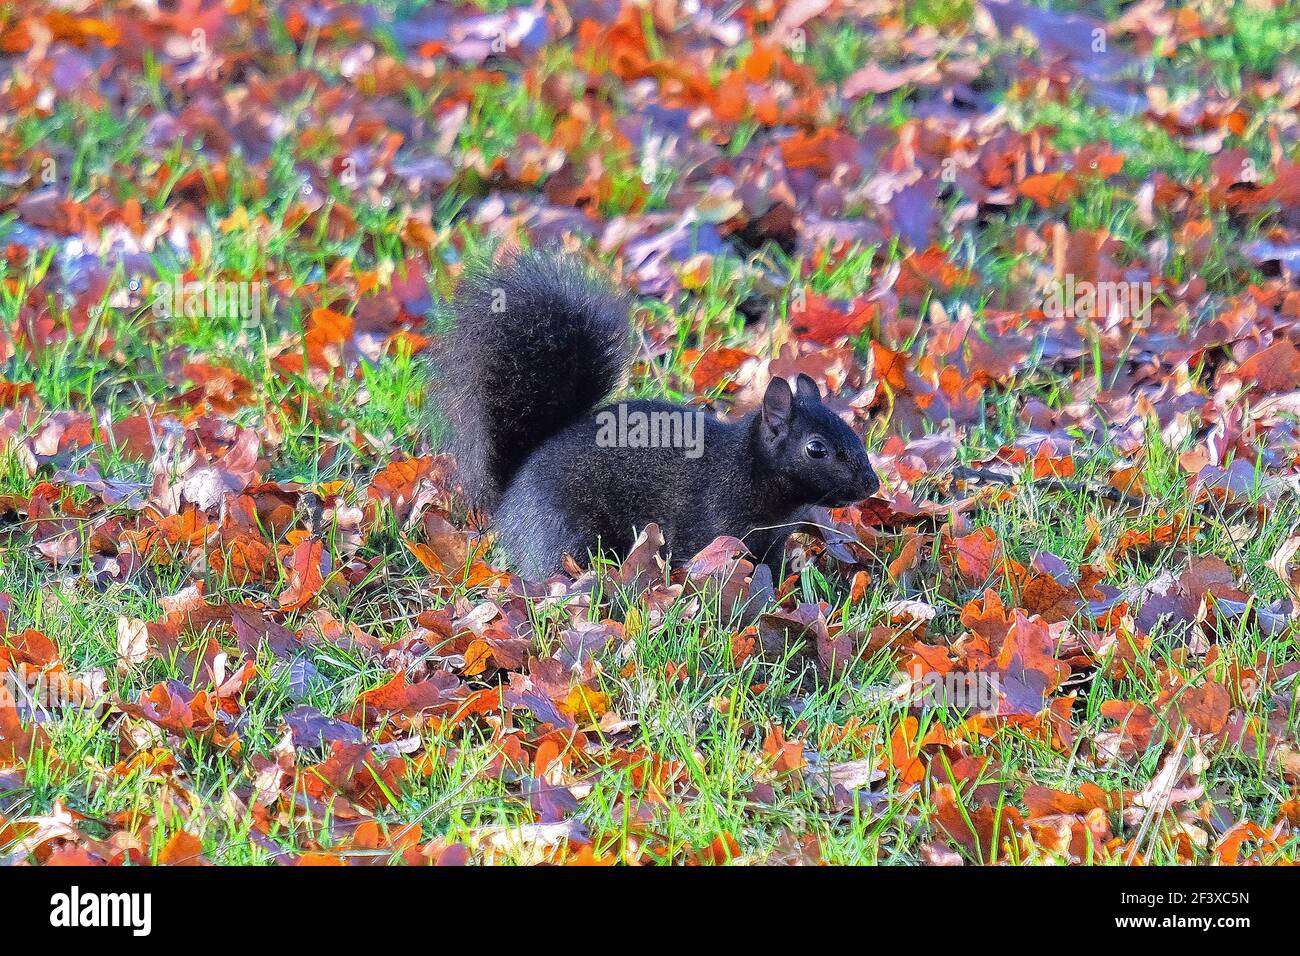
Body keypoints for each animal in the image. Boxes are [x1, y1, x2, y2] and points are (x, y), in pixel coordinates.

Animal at [439, 251, 883, 580]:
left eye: (851, 430)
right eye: (816, 449)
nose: (872, 483)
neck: (748, 468)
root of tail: (509, 497)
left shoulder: (771, 541)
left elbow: (771, 570)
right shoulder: (711, 526)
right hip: (563, 530)